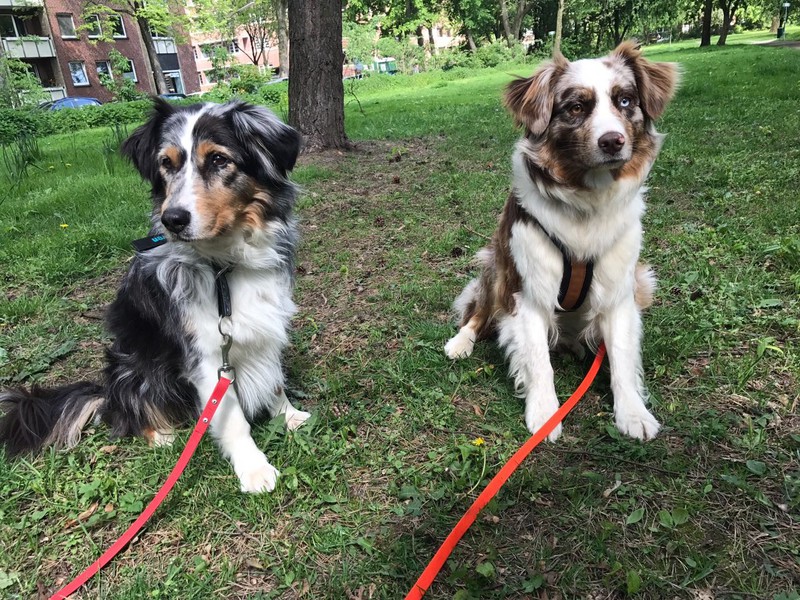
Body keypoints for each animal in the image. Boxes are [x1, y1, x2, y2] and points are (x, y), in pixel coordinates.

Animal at [0, 99, 310, 493]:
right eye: (167, 163)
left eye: (218, 160)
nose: (172, 219)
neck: (224, 265)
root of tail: (106, 391)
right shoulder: (204, 353)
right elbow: (232, 417)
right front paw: (253, 468)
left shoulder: (265, 325)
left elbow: (274, 381)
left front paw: (289, 416)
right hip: (134, 368)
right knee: (130, 414)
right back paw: (161, 435)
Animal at [444, 41, 678, 442]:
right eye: (576, 107)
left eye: (625, 101)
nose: (612, 141)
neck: (587, 204)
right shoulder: (525, 290)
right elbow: (538, 360)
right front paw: (544, 415)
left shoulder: (620, 291)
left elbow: (621, 356)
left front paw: (633, 413)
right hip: (495, 267)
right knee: (477, 314)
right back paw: (460, 343)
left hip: (642, 280)